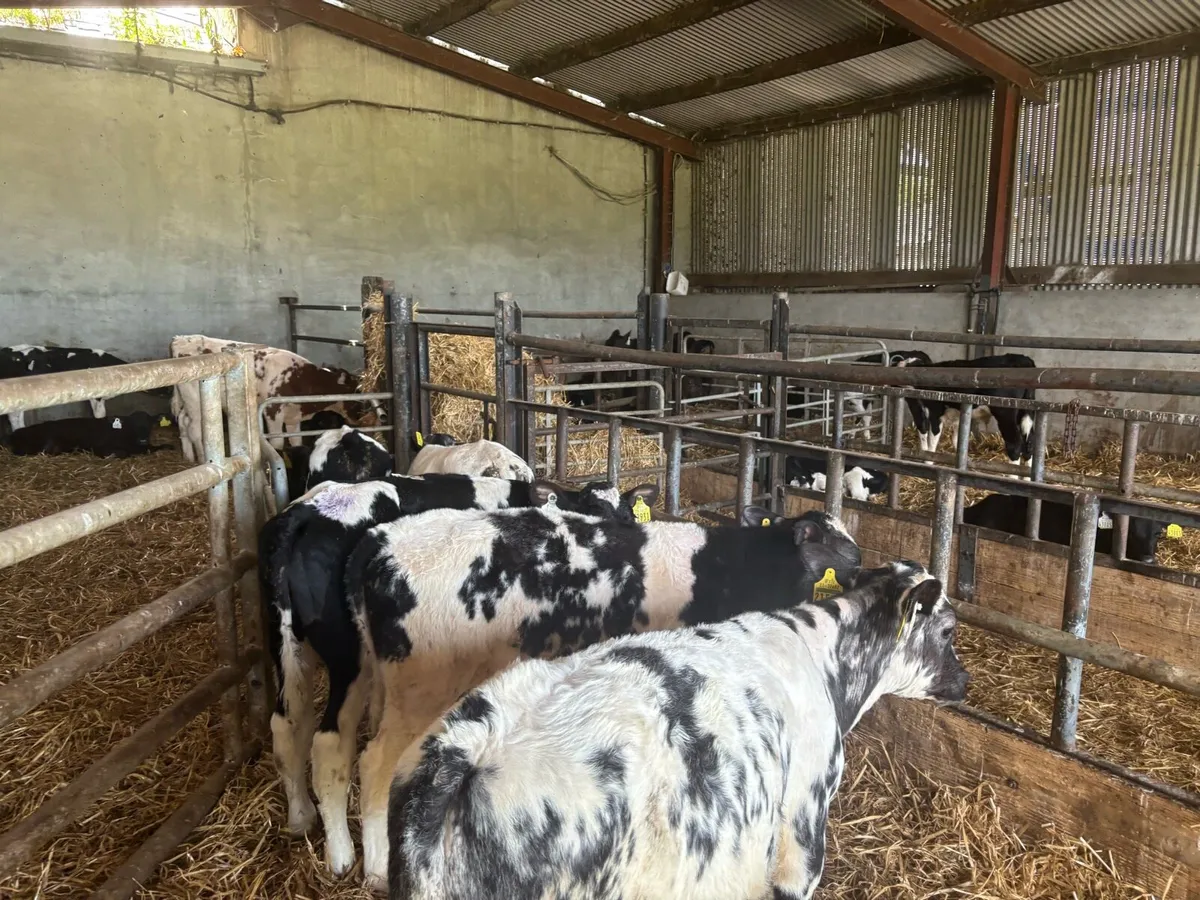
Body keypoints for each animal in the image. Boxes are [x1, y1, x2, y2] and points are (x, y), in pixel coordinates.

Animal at [3, 411, 171, 458]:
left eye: (149, 425)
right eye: (133, 425)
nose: (142, 439)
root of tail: (15, 433)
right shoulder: (100, 447)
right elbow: (122, 453)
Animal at [168, 336, 381, 461]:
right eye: (357, 392)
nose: (363, 420)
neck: (300, 378)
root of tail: (181, 339)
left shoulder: (294, 415)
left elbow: (295, 441)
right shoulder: (272, 411)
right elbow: (278, 442)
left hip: (185, 399)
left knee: (183, 422)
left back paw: (188, 456)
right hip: (195, 401)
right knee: (194, 428)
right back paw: (202, 458)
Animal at [260, 474, 658, 876]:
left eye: (627, 514)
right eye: (589, 514)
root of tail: (307, 511)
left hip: (287, 646)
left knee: (288, 725)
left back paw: (301, 816)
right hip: (348, 658)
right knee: (331, 746)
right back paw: (346, 856)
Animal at [345, 504, 862, 888]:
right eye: (818, 534)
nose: (859, 559)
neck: (743, 566)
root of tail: (382, 540)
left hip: (384, 677)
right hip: (418, 685)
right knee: (374, 762)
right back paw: (376, 866)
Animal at [891, 350, 1036, 468]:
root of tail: (1023, 359)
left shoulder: (935, 411)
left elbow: (933, 437)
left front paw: (928, 460)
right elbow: (957, 437)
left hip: (1005, 413)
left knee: (1015, 445)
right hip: (1026, 412)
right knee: (1029, 443)